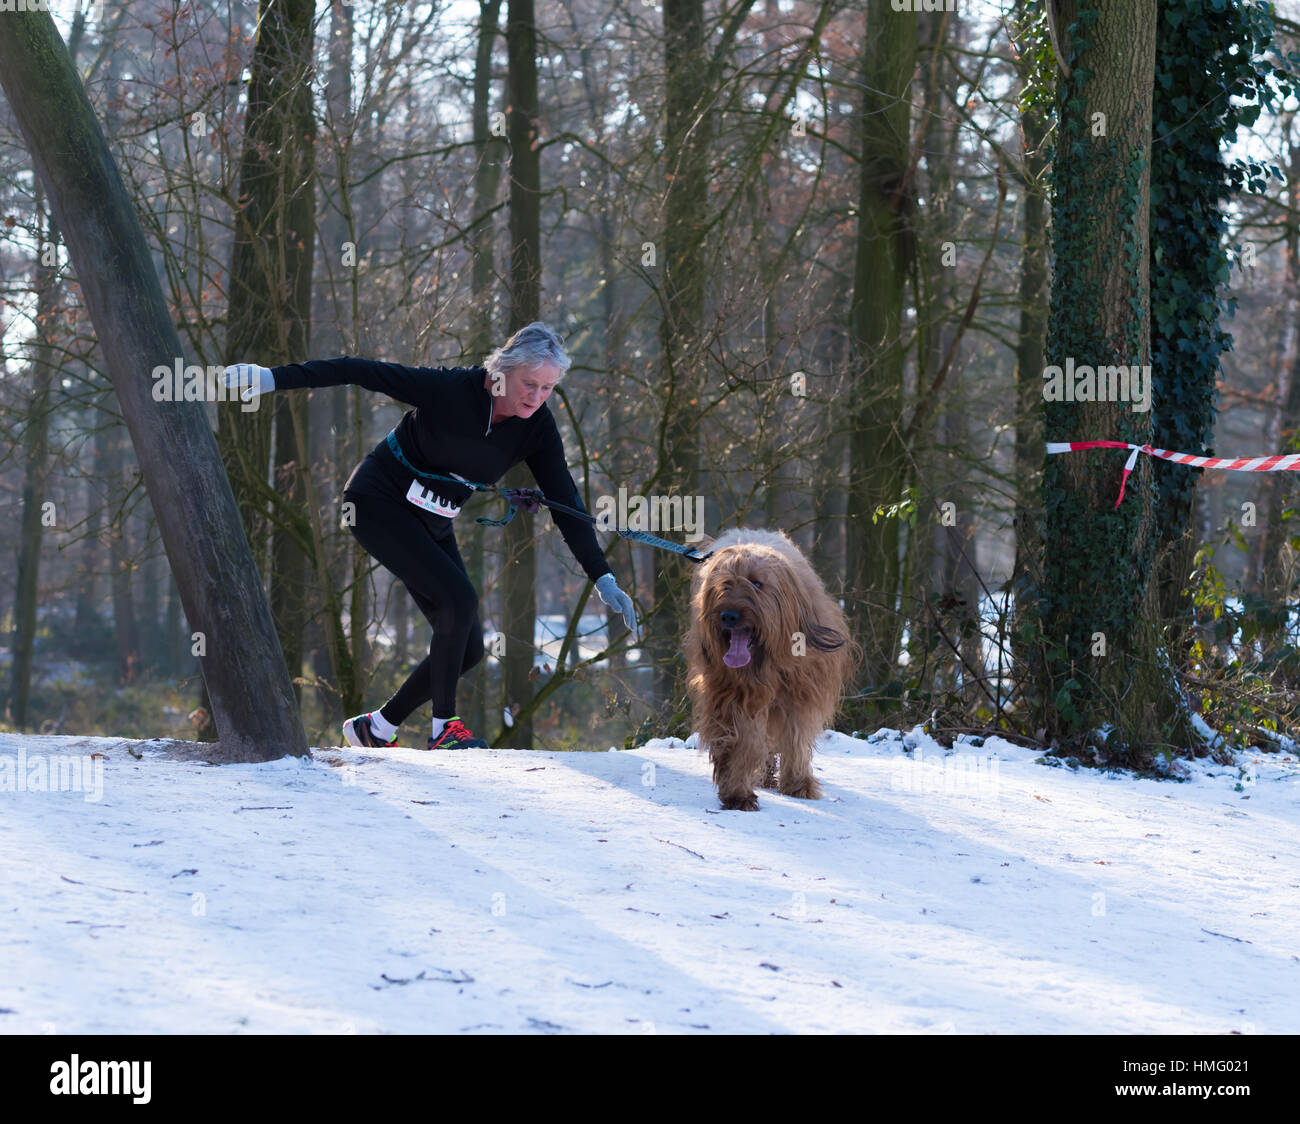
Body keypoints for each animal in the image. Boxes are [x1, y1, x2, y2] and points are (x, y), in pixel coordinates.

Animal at [686, 524, 857, 805]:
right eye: (724, 584)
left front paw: (798, 784)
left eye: (757, 583)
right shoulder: (733, 692)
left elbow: (795, 739)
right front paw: (737, 791)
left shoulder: (801, 694)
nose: (728, 615)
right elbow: (742, 739)